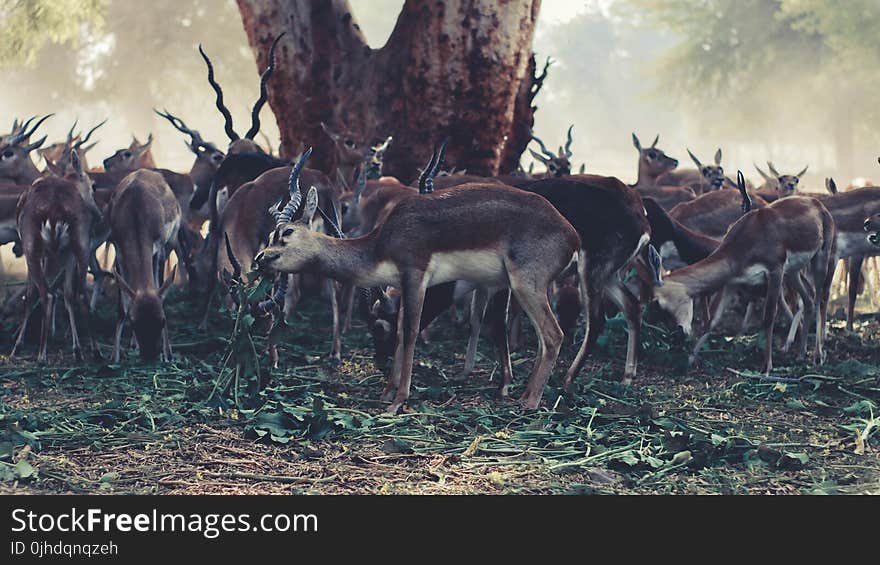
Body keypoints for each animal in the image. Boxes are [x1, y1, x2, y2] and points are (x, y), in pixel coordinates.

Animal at [11, 150, 100, 362]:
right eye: (93, 186)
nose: (100, 215)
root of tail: (55, 209)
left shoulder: (36, 253)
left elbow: (30, 295)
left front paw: (18, 346)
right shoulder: (67, 254)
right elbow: (68, 294)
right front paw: (76, 348)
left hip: (32, 247)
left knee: (47, 293)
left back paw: (41, 355)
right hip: (81, 244)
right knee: (81, 293)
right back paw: (94, 351)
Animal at [656, 174, 836, 372]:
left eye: (664, 303)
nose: (678, 333)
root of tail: (817, 204)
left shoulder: (775, 271)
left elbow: (768, 316)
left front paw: (767, 367)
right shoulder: (733, 282)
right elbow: (712, 320)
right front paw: (689, 360)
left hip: (820, 259)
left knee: (821, 299)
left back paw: (818, 356)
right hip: (793, 272)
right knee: (809, 298)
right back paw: (801, 354)